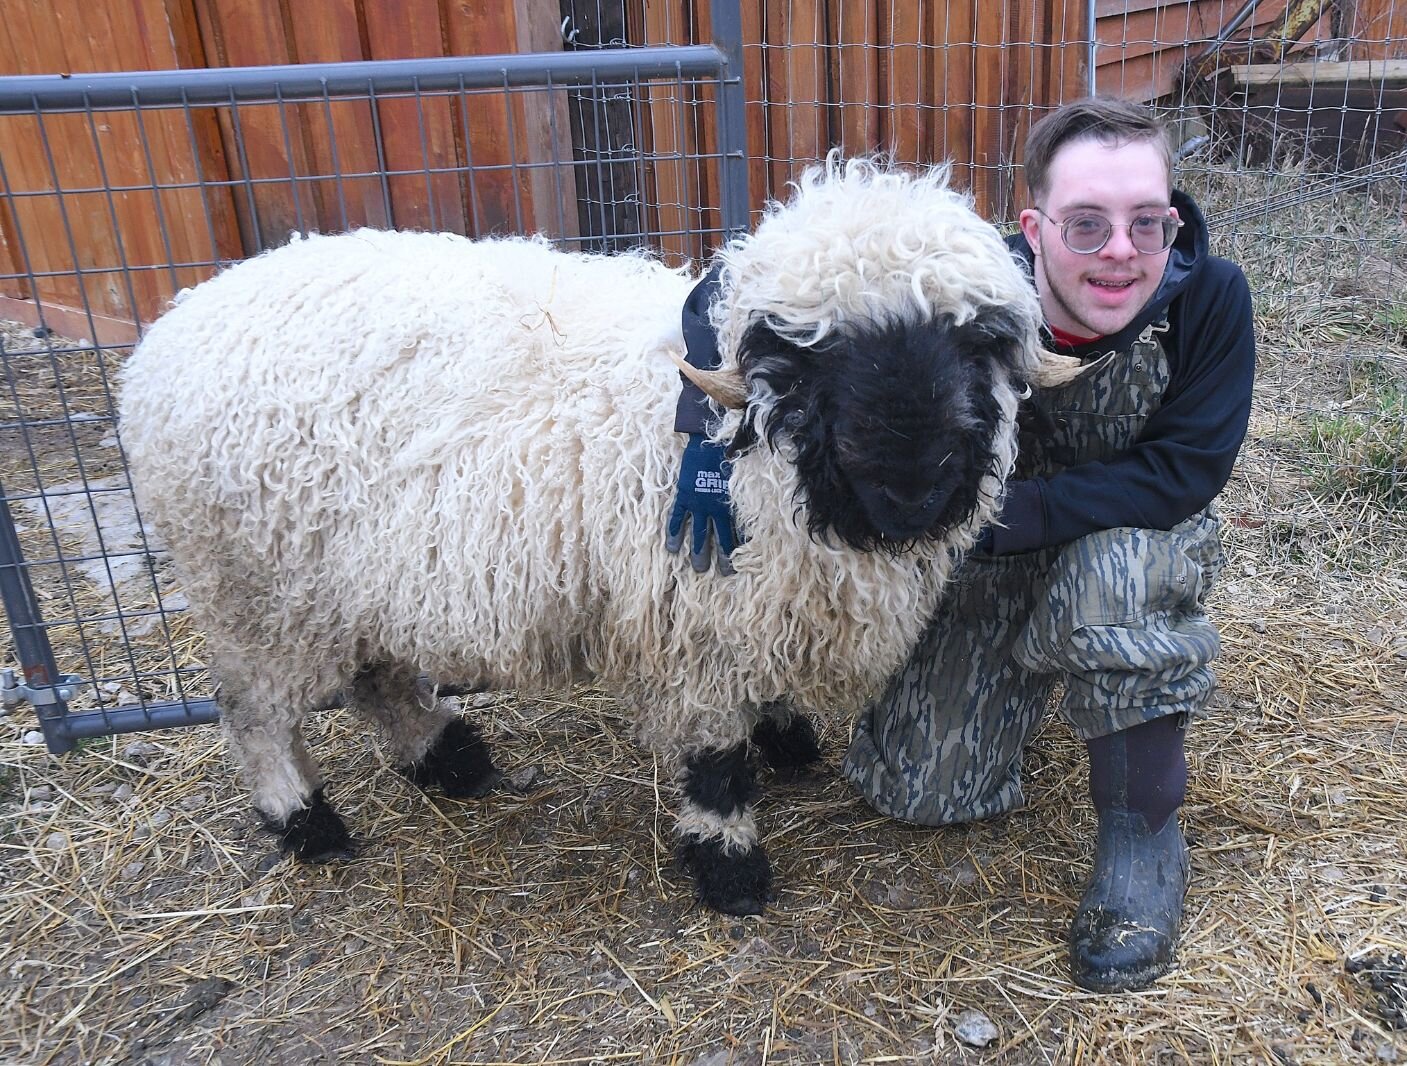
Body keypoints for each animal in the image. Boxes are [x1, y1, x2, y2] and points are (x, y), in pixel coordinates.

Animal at [121, 156, 1074, 916]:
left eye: (980, 343)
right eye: (807, 359)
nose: (912, 488)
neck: (751, 448)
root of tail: (164, 336)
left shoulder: (749, 607)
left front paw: (785, 736)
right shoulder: (696, 629)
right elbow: (714, 759)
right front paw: (729, 868)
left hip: (352, 575)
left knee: (374, 674)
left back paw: (447, 758)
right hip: (253, 586)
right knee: (253, 709)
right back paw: (305, 821)